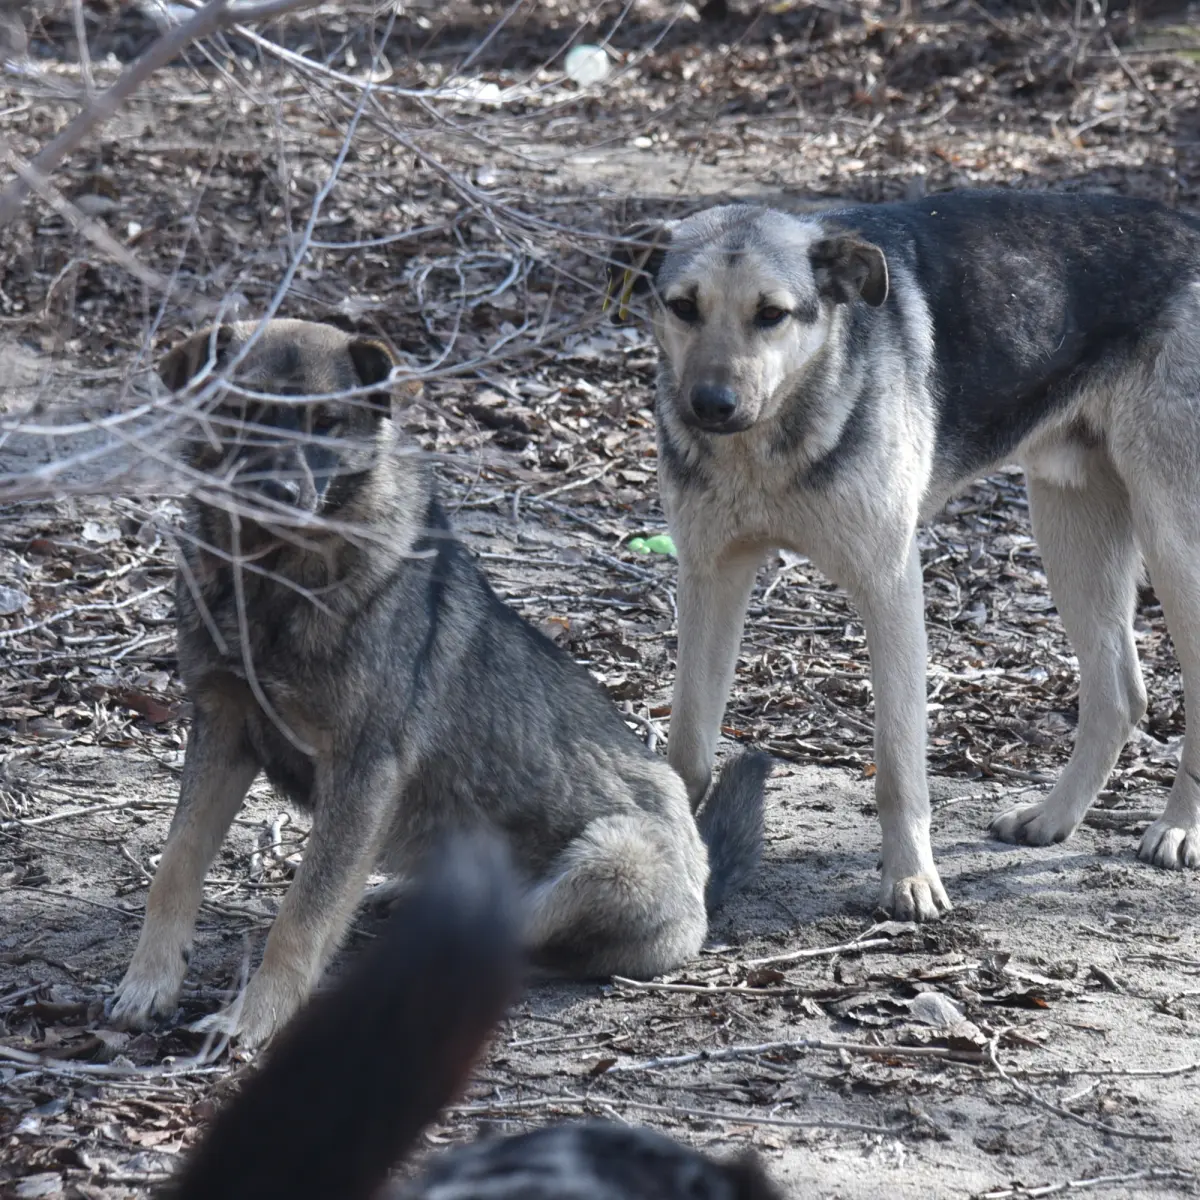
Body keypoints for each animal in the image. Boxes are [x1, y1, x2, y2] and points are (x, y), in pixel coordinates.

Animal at [112, 316, 768, 1041]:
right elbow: (175, 864)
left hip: (606, 858)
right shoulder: (223, 731)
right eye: (241, 414)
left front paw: (255, 1019)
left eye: (326, 423)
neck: (272, 582)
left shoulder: (362, 769)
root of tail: (701, 878)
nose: (276, 495)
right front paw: (149, 981)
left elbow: (303, 914)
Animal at [609, 189, 1200, 916]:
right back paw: (1053, 817)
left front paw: (911, 880)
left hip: (1171, 540)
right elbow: (688, 746)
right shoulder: (710, 578)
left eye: (771, 314)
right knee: (1120, 693)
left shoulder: (889, 586)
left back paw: (1178, 829)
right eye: (684, 306)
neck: (772, 440)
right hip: (1068, 526)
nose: (710, 406)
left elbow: (896, 765)